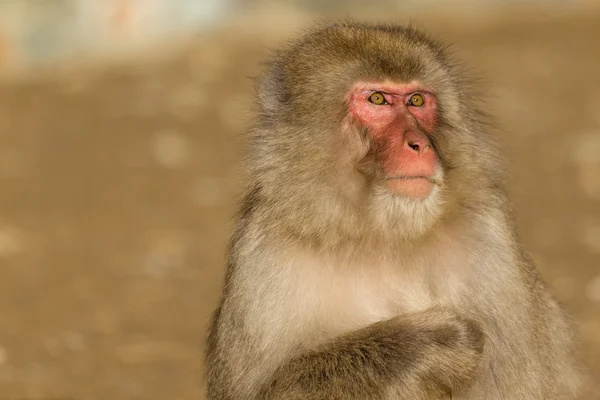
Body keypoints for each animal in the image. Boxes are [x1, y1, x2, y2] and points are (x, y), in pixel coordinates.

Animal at [206, 22, 580, 400]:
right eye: (377, 99)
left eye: (417, 100)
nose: (420, 144)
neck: (384, 236)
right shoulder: (263, 261)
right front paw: (419, 345)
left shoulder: (490, 239)